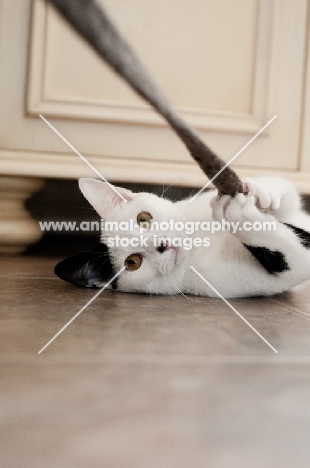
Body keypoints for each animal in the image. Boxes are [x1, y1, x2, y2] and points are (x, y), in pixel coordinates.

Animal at [54, 177, 310, 298]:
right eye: (132, 262)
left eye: (143, 219)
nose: (162, 244)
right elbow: (293, 257)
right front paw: (238, 213)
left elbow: (287, 191)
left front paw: (261, 192)